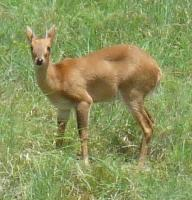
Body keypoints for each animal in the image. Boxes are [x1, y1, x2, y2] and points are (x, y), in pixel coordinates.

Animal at [25, 25, 160, 166]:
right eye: (31, 47)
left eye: (49, 47)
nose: (39, 60)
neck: (58, 77)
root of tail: (158, 71)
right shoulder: (63, 107)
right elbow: (60, 132)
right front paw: (56, 154)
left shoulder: (84, 99)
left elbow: (83, 133)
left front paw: (85, 162)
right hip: (137, 97)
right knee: (152, 121)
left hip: (133, 93)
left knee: (147, 126)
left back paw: (139, 165)